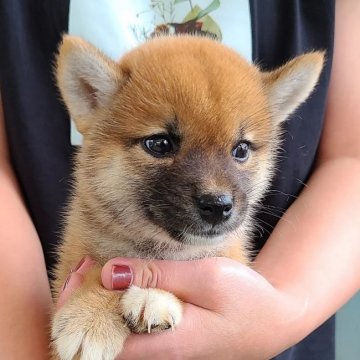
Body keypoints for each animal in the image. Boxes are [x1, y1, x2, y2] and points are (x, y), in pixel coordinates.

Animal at [50, 34, 324, 360]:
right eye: (160, 144)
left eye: (241, 150)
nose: (218, 205)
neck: (160, 250)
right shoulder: (75, 260)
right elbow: (101, 269)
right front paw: (89, 315)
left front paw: (151, 297)